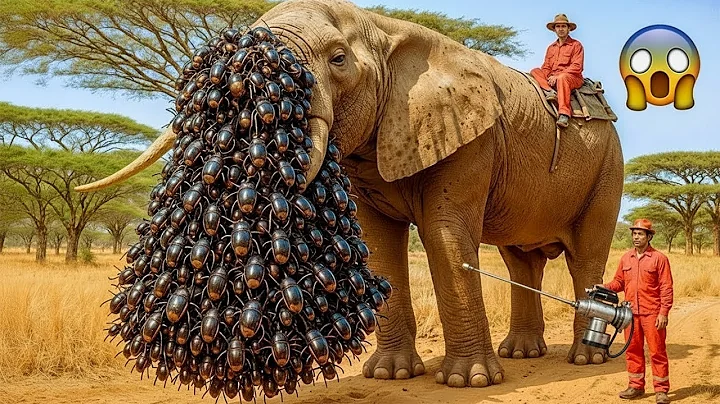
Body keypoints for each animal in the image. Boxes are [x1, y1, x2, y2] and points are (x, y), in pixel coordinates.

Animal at [77, 0, 624, 388]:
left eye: (338, 59)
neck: (384, 28)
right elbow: (379, 245)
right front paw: (389, 374)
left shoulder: (474, 139)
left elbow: (445, 238)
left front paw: (467, 383)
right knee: (520, 261)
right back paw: (524, 354)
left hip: (608, 167)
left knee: (586, 254)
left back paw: (584, 359)